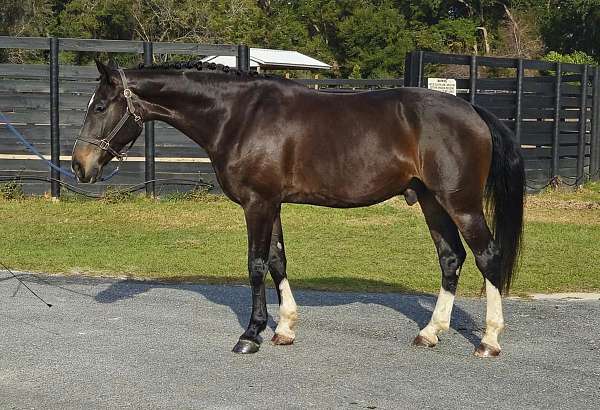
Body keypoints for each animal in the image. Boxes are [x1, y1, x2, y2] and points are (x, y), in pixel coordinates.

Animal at [71, 59, 524, 358]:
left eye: (99, 106)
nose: (79, 165)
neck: (239, 116)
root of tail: (472, 110)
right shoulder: (272, 204)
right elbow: (277, 261)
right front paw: (284, 328)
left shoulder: (258, 203)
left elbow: (256, 264)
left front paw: (251, 335)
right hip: (432, 202)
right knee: (451, 258)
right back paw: (431, 332)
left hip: (460, 203)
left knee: (487, 256)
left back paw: (489, 340)